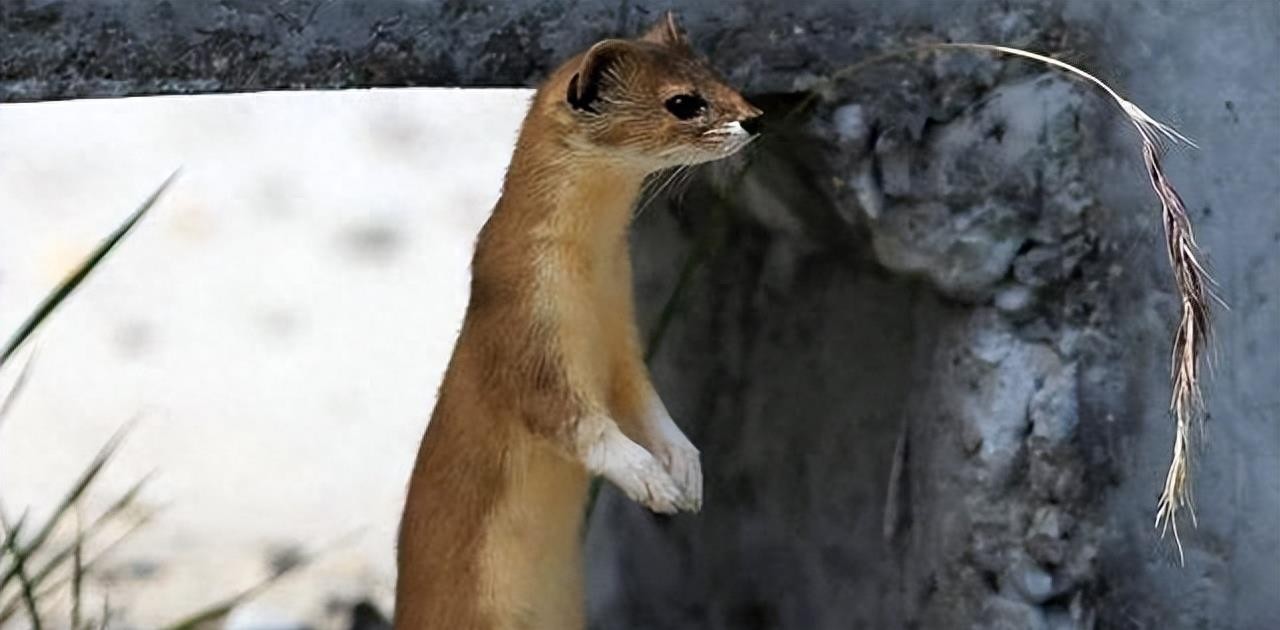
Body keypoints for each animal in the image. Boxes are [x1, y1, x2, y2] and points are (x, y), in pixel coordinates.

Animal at [395, 12, 761, 629]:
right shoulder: (527, 327)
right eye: (684, 102)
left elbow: (645, 403)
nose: (755, 119)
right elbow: (576, 424)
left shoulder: (623, 327)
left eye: (718, 73)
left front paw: (685, 468)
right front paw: (650, 480)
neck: (590, 274)